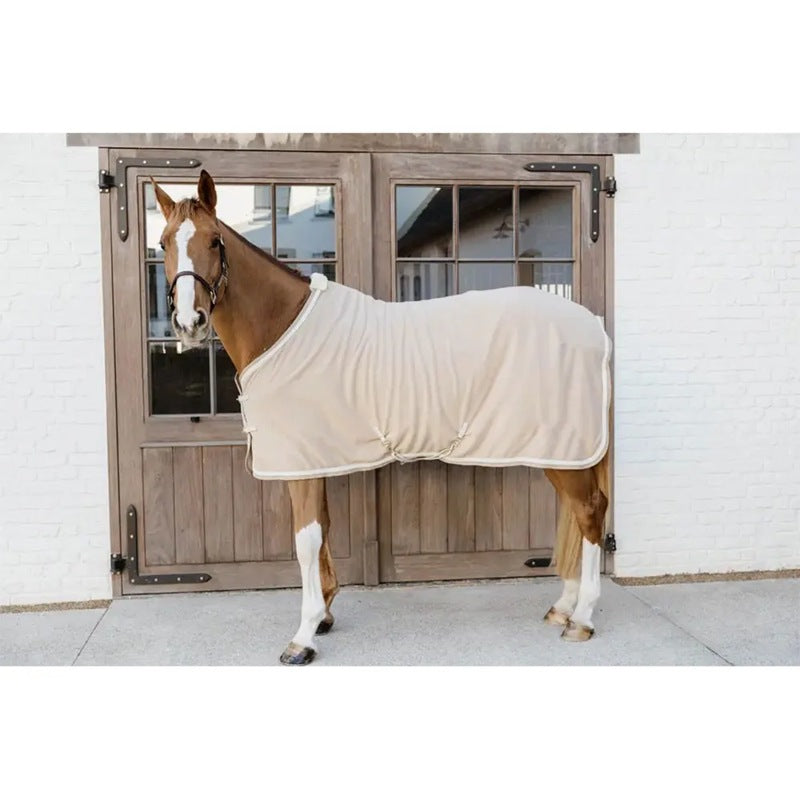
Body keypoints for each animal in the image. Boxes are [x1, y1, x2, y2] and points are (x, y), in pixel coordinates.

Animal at [151, 170, 611, 665]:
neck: (283, 327)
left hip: (565, 447)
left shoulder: (300, 463)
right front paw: (325, 616)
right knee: (574, 513)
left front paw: (303, 637)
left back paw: (583, 618)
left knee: (589, 511)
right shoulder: (315, 459)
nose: (189, 322)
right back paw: (563, 607)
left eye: (215, 241)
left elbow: (305, 541)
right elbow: (323, 532)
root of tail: (593, 326)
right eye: (162, 243)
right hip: (559, 449)